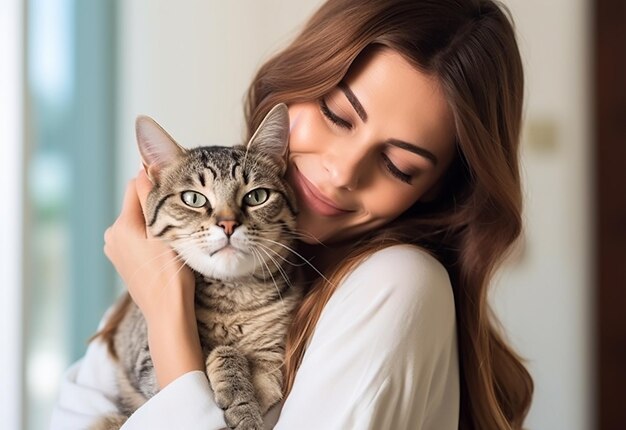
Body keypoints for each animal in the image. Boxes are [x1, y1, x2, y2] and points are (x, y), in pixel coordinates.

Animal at [93, 104, 304, 430]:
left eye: (256, 196)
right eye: (193, 198)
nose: (228, 224)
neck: (233, 303)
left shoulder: (272, 354)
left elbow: (265, 380)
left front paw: (247, 407)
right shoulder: (148, 365)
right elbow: (221, 353)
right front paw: (239, 396)